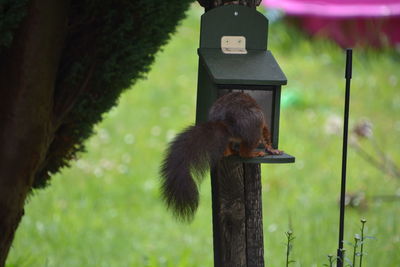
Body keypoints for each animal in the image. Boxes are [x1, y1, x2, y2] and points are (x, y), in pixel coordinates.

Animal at [159, 92, 282, 222]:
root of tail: (226, 123)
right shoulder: (263, 124)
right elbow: (266, 133)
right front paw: (271, 148)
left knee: (228, 146)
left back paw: (229, 152)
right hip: (254, 125)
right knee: (245, 151)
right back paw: (253, 153)